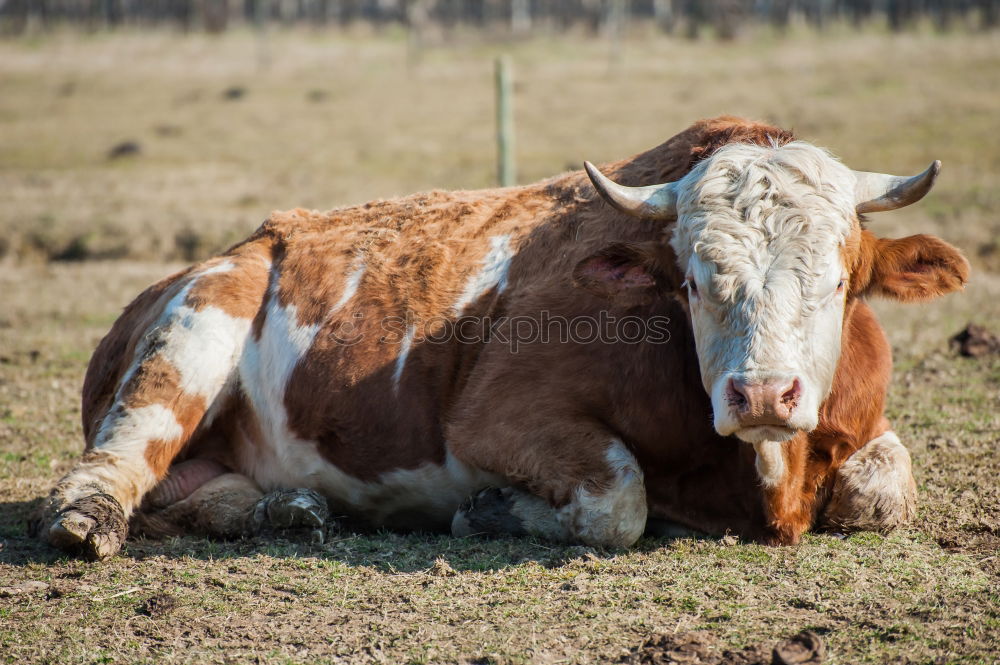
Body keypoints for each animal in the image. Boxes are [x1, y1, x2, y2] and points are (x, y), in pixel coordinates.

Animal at [33, 115, 968, 560]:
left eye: (838, 281)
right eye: (696, 282)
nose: (764, 393)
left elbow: (885, 488)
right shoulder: (496, 417)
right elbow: (620, 500)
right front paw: (493, 509)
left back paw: (287, 510)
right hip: (195, 324)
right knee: (117, 461)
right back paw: (87, 518)